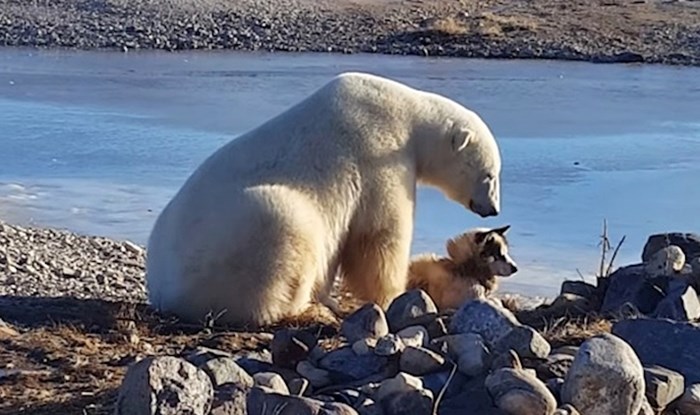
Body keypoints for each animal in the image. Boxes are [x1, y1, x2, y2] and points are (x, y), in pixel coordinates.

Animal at [145, 73, 500, 330]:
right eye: (490, 174)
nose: (492, 209)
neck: (407, 114)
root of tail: (163, 291)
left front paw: (333, 296)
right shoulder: (379, 156)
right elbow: (379, 236)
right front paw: (392, 296)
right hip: (238, 237)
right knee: (286, 230)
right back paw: (304, 310)